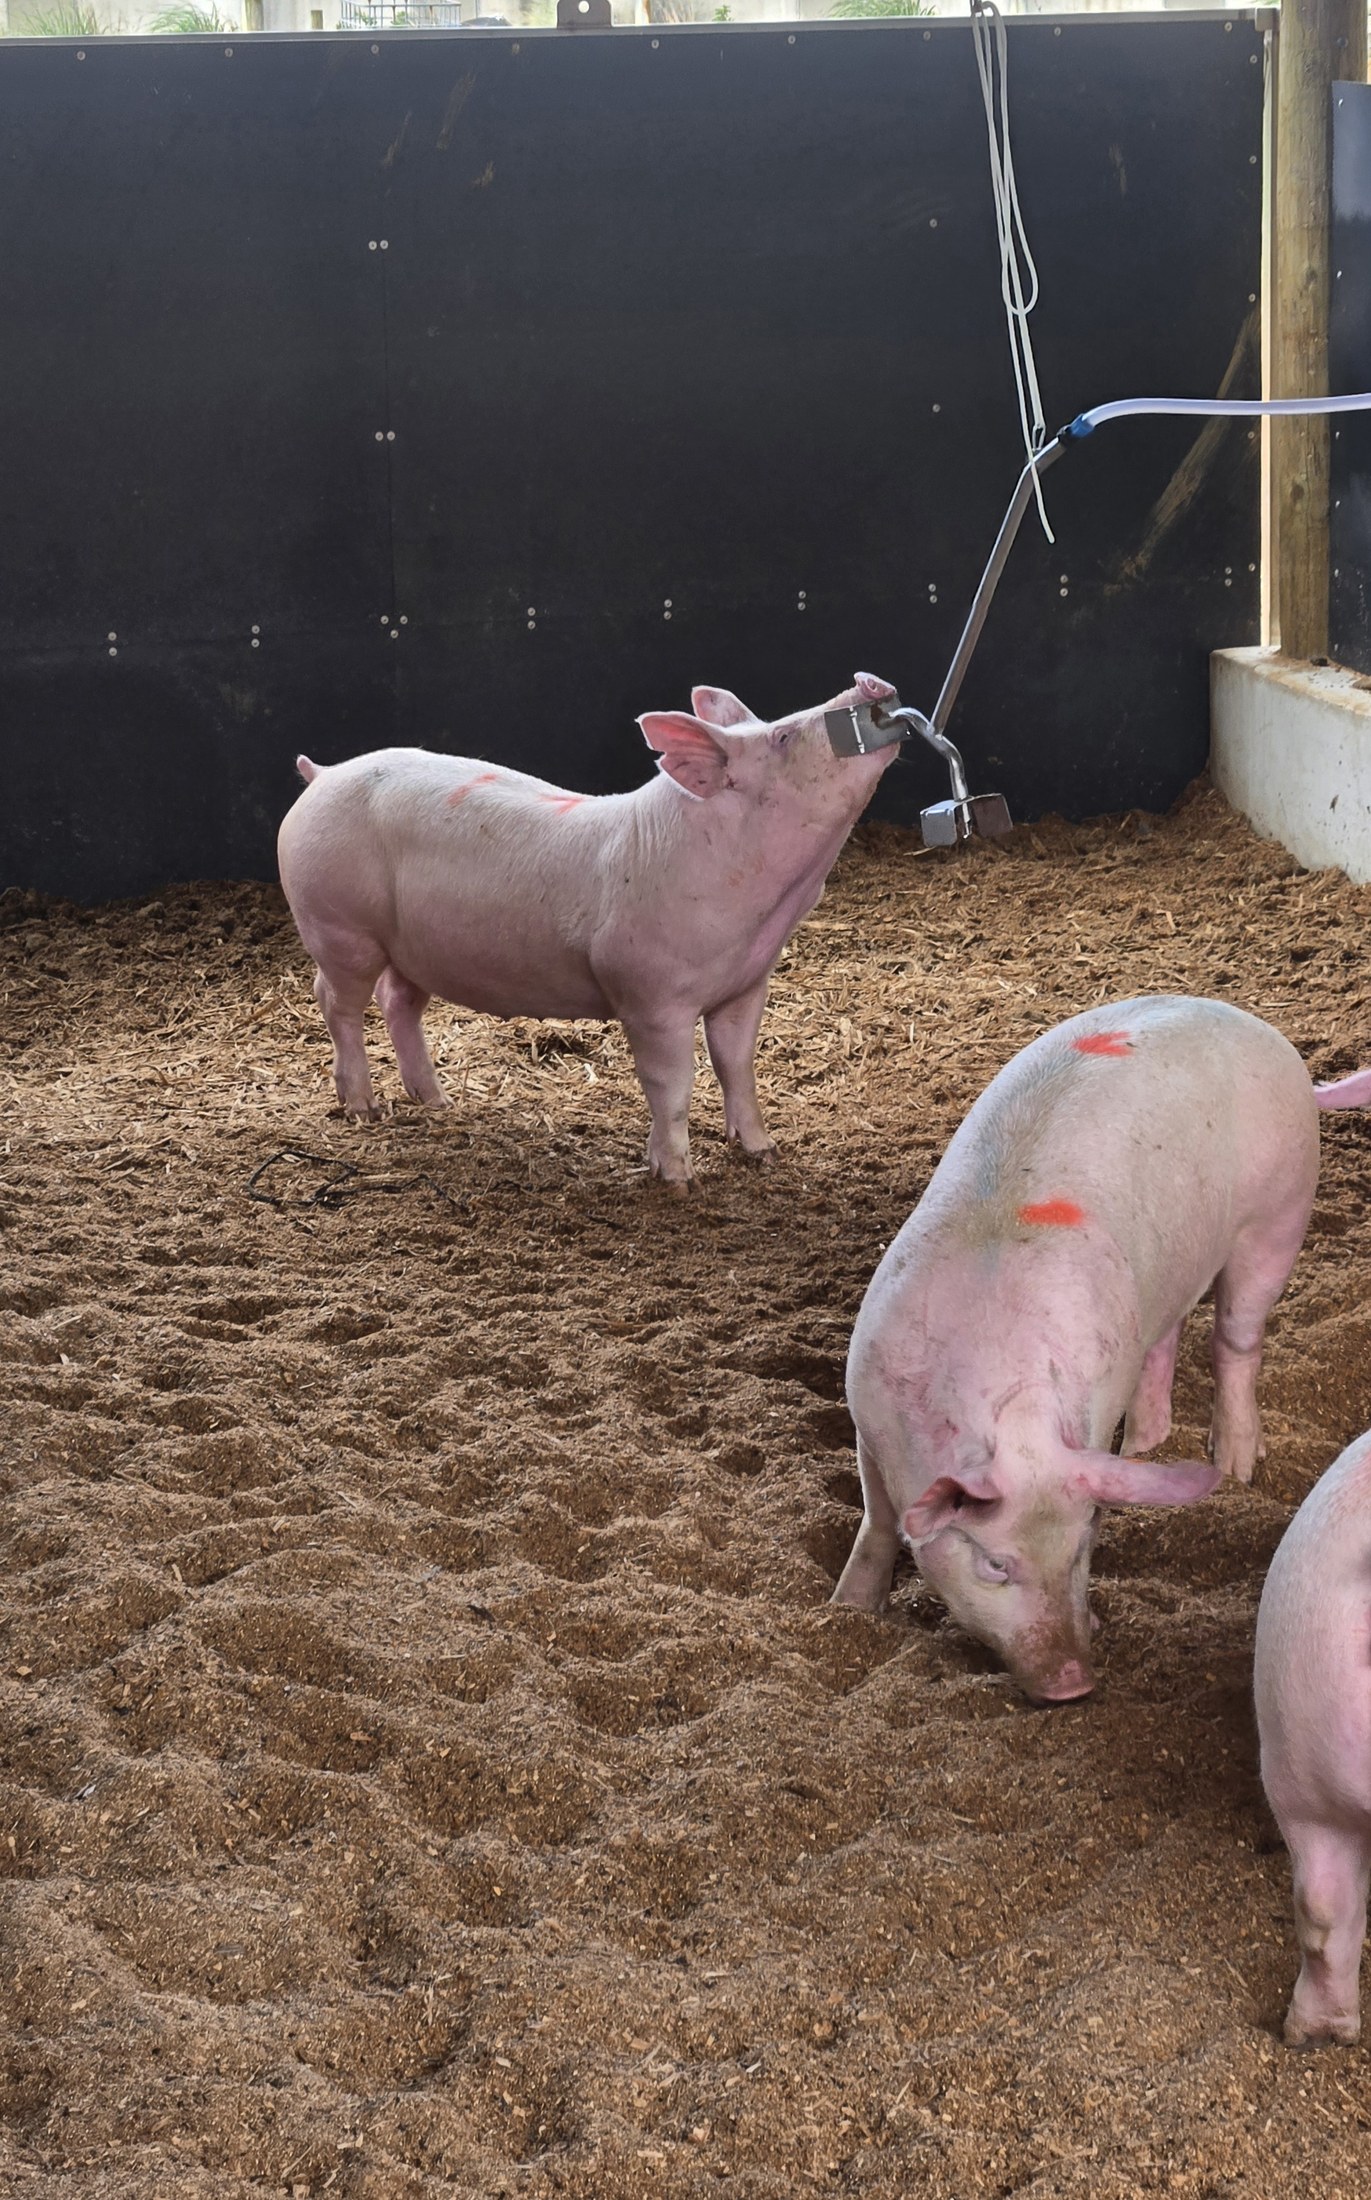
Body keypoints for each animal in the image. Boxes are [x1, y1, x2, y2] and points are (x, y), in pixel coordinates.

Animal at [276, 674, 901, 1186]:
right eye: (785, 737)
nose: (872, 682)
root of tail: (321, 776)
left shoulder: (747, 985)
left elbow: (736, 1065)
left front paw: (763, 1153)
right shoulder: (648, 993)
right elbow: (671, 1082)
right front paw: (679, 1179)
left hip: (415, 947)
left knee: (397, 1001)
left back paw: (438, 1102)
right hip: (338, 924)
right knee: (336, 1001)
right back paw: (365, 1108)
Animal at [833, 995, 1319, 1703]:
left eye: (1082, 1549)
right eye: (994, 1563)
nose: (1073, 1685)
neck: (1013, 1416)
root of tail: (1255, 1024)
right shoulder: (867, 1415)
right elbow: (874, 1518)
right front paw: (846, 1608)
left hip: (1280, 1211)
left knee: (1236, 1339)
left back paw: (1234, 1469)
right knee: (1167, 1335)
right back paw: (1145, 1447)